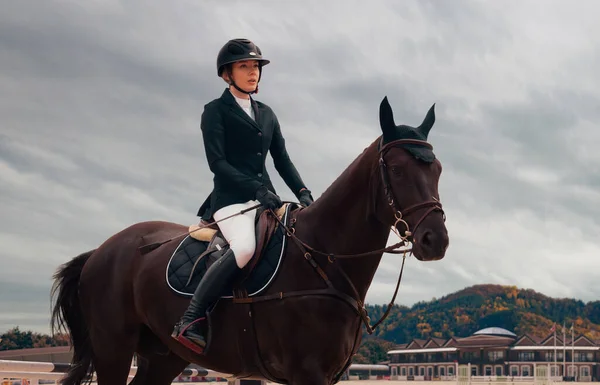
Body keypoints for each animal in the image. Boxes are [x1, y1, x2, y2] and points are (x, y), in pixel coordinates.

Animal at [49, 96, 448, 384]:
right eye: (396, 169)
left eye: (438, 170)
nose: (436, 240)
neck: (321, 259)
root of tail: (100, 251)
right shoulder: (307, 372)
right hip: (113, 350)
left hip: (162, 357)